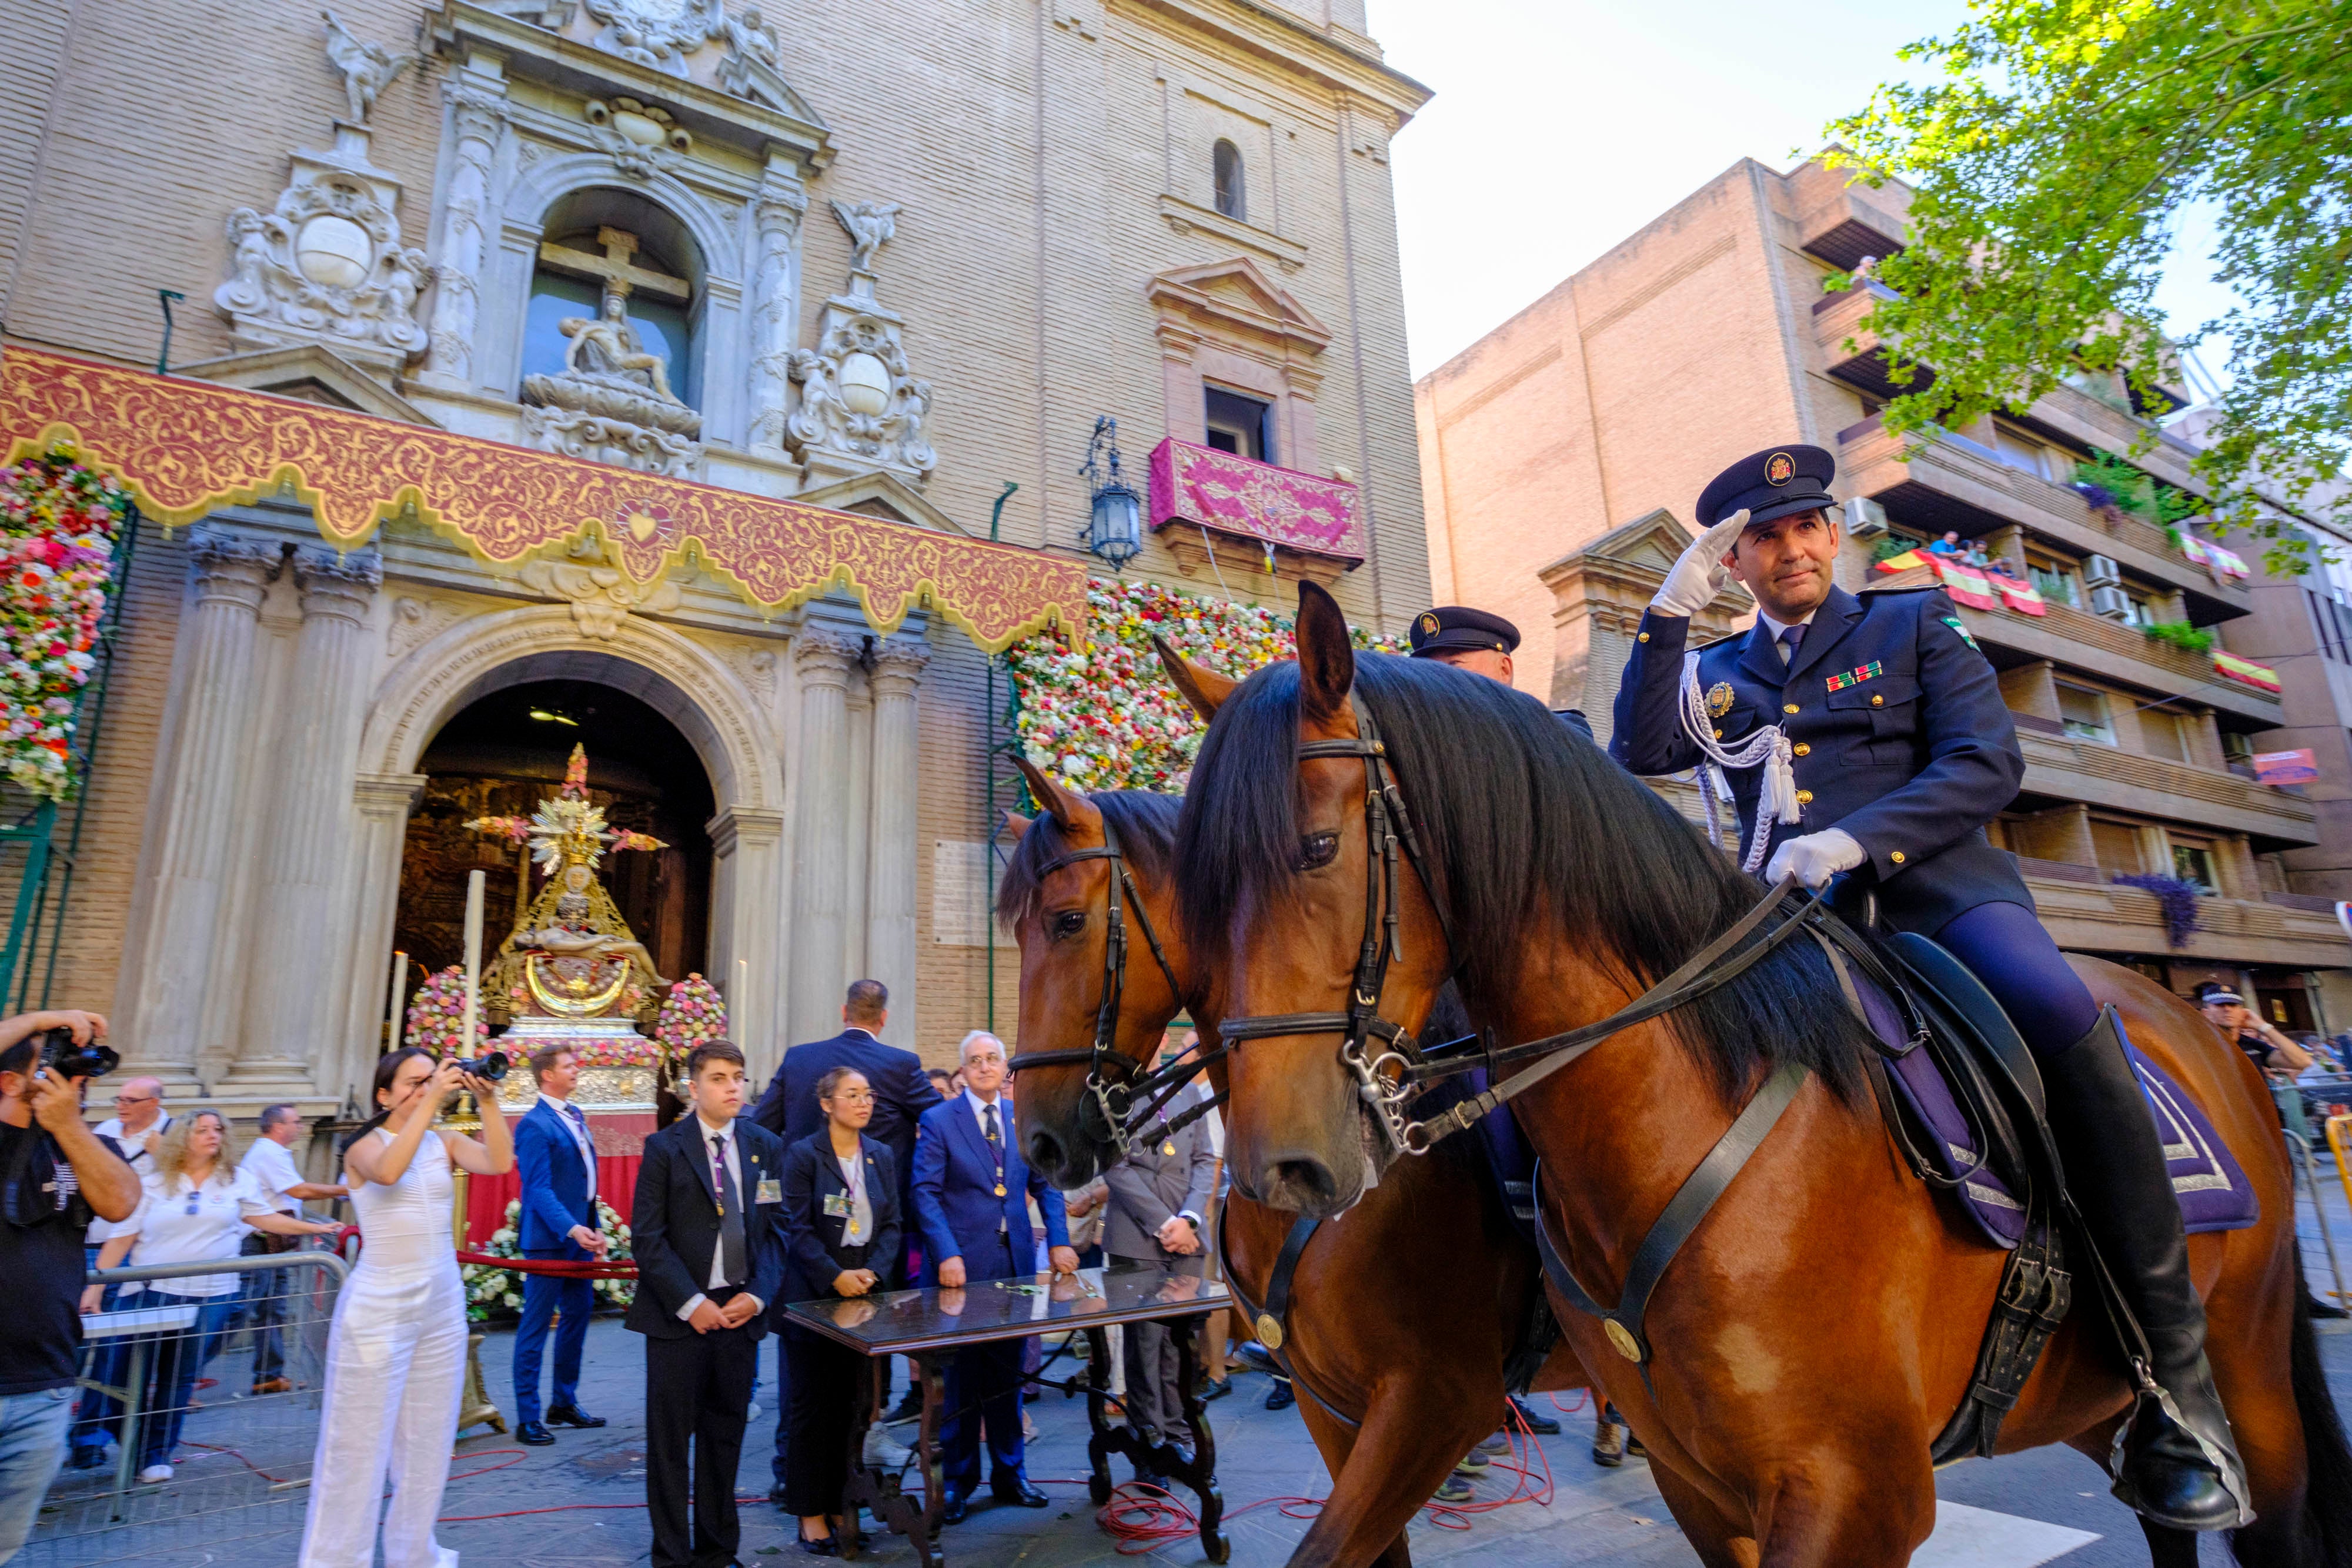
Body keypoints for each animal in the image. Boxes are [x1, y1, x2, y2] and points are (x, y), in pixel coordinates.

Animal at [1162, 580, 2352, 1568]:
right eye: (1194, 886)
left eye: (1317, 850)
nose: (1280, 1167)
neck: (1683, 1113)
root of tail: (2208, 1033)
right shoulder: (1689, 1480)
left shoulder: (1848, 1489)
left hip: (2251, 1375)